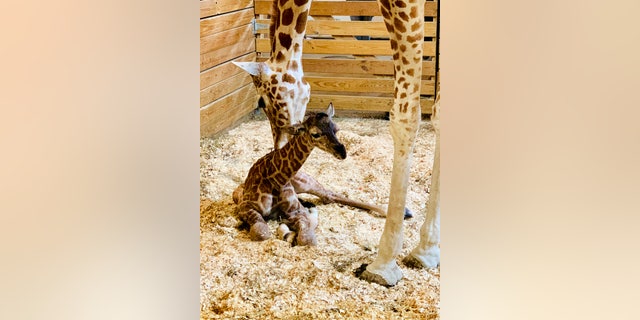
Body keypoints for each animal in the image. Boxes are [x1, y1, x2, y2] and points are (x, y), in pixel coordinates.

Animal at [234, 104, 344, 246]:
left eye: (337, 129)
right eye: (315, 134)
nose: (343, 152)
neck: (277, 178)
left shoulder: (296, 211)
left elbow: (307, 239)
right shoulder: (245, 206)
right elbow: (261, 232)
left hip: (308, 183)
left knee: (328, 195)